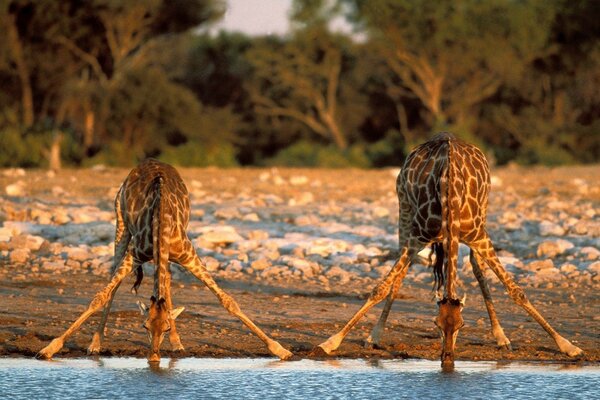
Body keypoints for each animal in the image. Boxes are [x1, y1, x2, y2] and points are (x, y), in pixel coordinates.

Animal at [35, 159, 292, 362]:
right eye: (144, 326)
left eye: (166, 327)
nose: (154, 357)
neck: (161, 221)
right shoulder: (135, 254)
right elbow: (100, 297)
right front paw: (49, 349)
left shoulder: (189, 255)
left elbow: (228, 301)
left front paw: (281, 350)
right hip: (121, 223)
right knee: (114, 280)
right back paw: (95, 344)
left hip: (164, 254)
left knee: (166, 284)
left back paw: (177, 343)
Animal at [316, 134, 584, 366]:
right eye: (435, 324)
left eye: (462, 325)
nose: (447, 358)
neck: (450, 194)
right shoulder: (416, 238)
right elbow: (379, 288)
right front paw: (331, 342)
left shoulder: (479, 236)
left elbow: (516, 292)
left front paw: (568, 346)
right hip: (404, 209)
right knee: (400, 273)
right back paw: (375, 335)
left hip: (483, 214)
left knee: (477, 267)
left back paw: (501, 337)